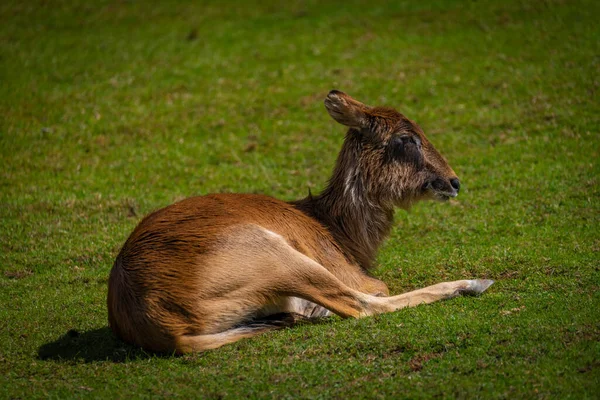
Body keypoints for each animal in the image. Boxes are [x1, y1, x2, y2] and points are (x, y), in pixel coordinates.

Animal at [106, 90, 492, 354]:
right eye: (406, 138)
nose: (454, 181)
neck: (334, 228)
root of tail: (163, 322)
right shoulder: (349, 272)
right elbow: (376, 290)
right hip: (277, 255)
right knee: (361, 306)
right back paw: (476, 282)